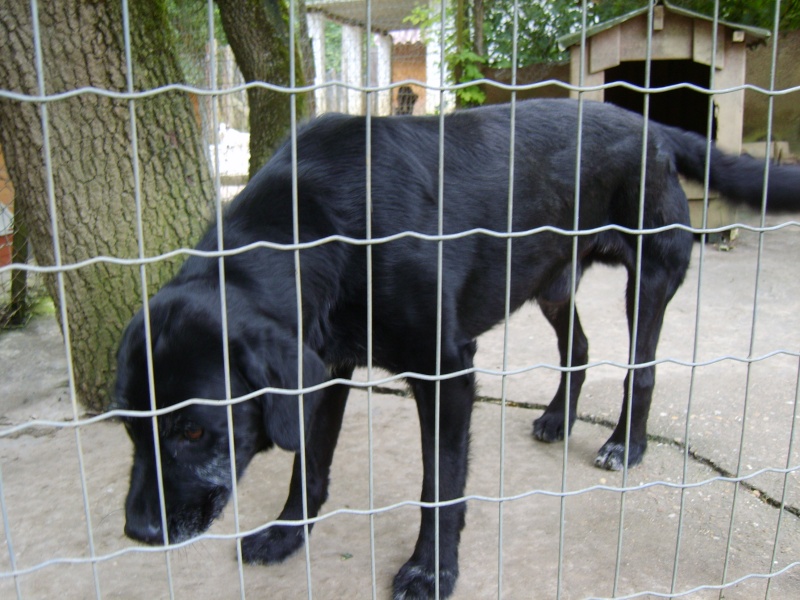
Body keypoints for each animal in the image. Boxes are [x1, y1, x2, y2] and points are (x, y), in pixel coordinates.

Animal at [115, 101, 796, 596]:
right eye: (127, 426)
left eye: (195, 431)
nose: (139, 532)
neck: (317, 226)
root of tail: (648, 123)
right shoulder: (326, 366)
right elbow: (308, 466)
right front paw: (286, 536)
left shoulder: (445, 372)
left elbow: (438, 486)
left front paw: (430, 571)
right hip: (550, 283)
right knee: (578, 347)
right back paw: (557, 418)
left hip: (649, 277)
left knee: (642, 369)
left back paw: (624, 444)